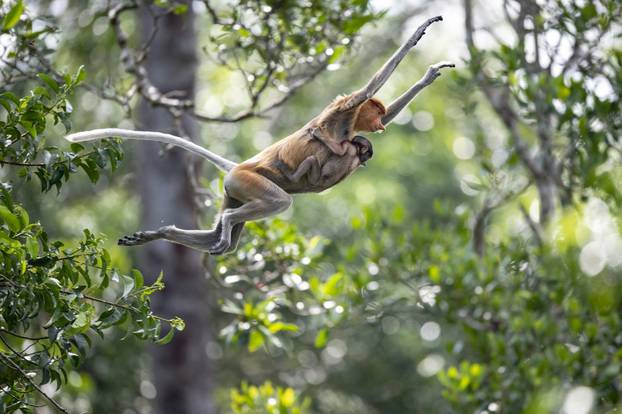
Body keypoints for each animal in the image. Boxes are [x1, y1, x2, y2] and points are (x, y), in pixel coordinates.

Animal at [67, 16, 454, 254]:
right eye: (373, 112)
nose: (379, 126)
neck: (348, 130)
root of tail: (238, 166)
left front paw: (428, 76)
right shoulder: (342, 114)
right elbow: (366, 89)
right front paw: (418, 34)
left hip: (232, 189)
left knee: (226, 224)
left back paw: (171, 234)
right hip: (246, 181)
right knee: (278, 201)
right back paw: (224, 228)